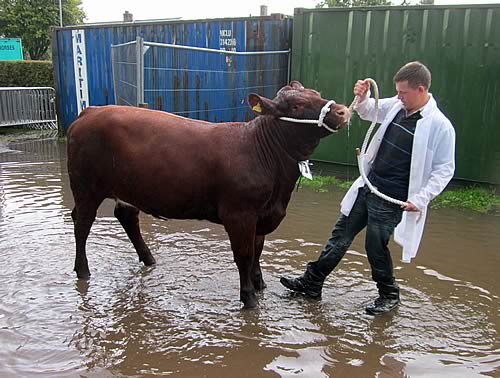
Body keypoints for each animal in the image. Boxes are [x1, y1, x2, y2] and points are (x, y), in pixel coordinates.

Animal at [66, 81, 350, 308]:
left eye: (317, 94)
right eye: (297, 106)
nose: (342, 110)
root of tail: (90, 111)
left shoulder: (262, 215)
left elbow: (257, 252)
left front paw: (260, 287)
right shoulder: (239, 214)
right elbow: (244, 256)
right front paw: (249, 299)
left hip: (126, 188)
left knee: (126, 216)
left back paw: (149, 260)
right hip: (86, 187)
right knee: (82, 224)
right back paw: (83, 271)